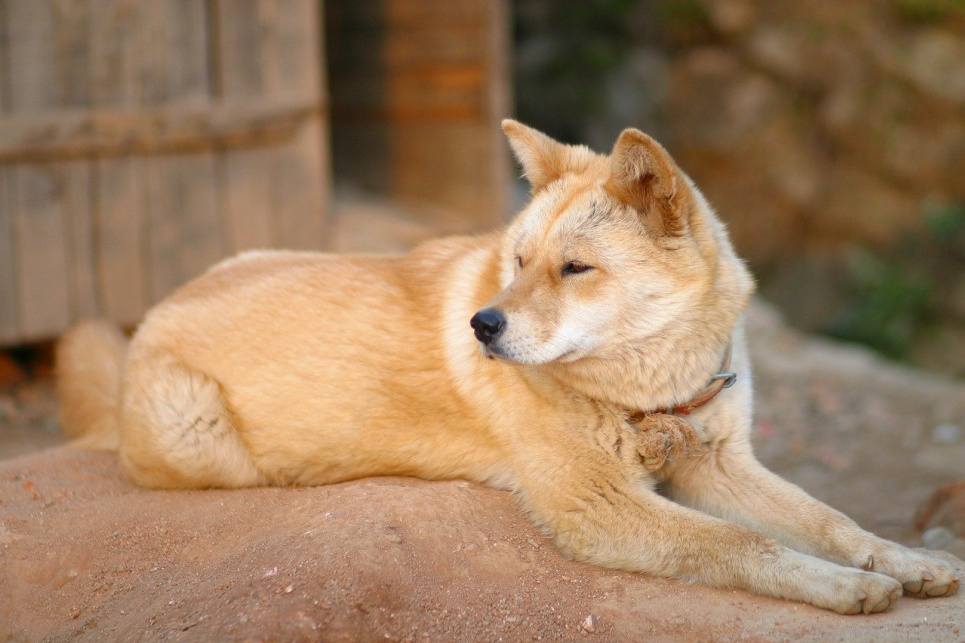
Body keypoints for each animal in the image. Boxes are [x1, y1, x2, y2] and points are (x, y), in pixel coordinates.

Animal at [58, 118, 956, 616]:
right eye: (518, 260)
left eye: (573, 268)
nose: (481, 325)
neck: (649, 389)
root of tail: (149, 322)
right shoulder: (598, 506)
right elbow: (746, 544)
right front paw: (840, 589)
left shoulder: (720, 461)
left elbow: (830, 521)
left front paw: (906, 561)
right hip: (205, 440)